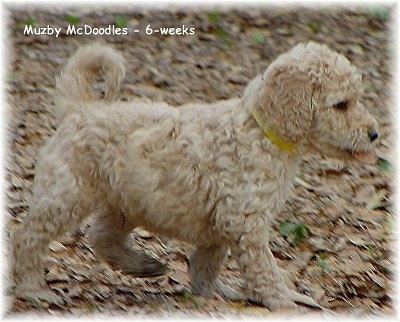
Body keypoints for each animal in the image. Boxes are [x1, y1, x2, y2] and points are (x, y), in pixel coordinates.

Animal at [11, 41, 378, 310]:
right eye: (341, 105)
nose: (374, 134)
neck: (261, 129)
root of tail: (81, 108)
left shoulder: (222, 222)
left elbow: (209, 259)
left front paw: (213, 290)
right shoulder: (245, 221)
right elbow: (264, 267)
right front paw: (285, 300)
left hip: (127, 200)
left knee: (101, 236)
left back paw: (143, 265)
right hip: (67, 194)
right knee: (28, 238)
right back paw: (34, 289)